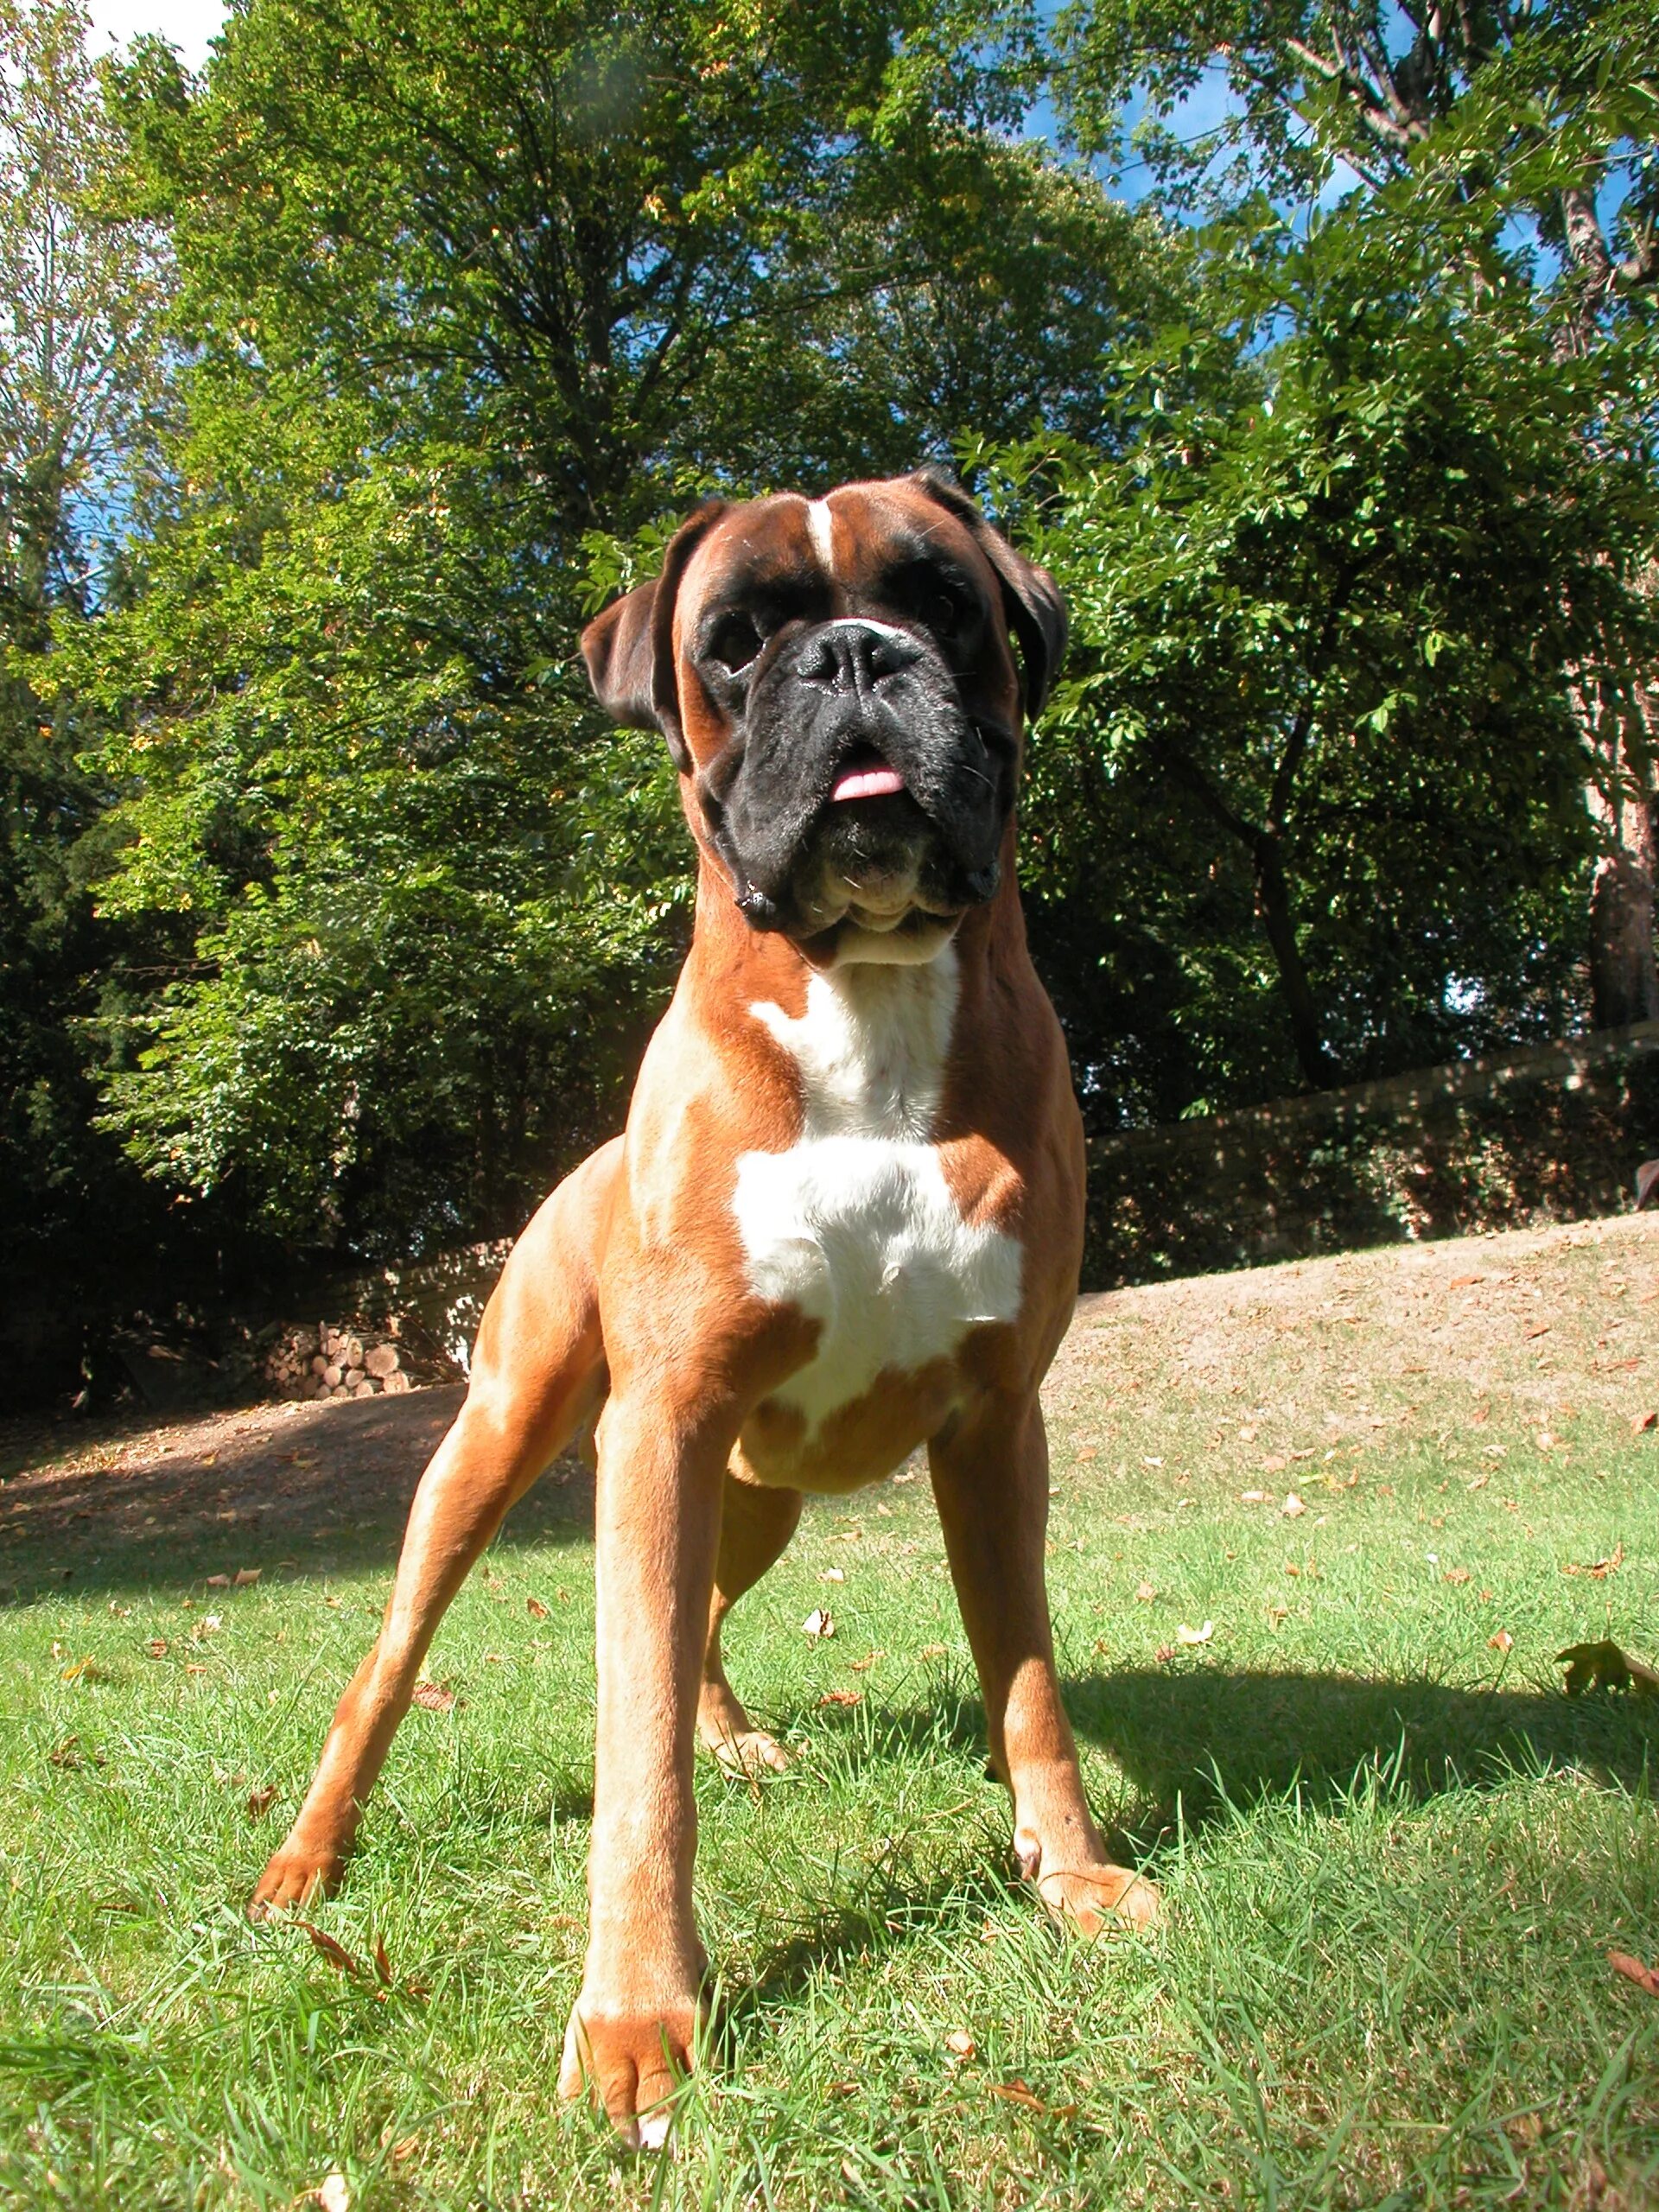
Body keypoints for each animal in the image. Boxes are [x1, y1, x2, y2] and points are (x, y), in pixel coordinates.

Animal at [253, 467, 1159, 2141]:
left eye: (943, 600)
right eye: (736, 640)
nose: (856, 656)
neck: (868, 998)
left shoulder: (994, 1430)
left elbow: (1028, 1681)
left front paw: (1069, 1875)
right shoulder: (663, 1426)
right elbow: (636, 1761)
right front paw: (637, 2015)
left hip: (758, 1493)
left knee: (711, 1626)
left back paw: (737, 1736)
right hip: (506, 1445)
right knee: (393, 1667)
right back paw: (309, 1860)